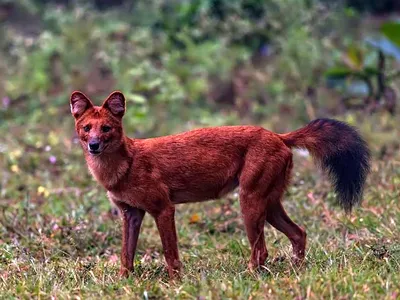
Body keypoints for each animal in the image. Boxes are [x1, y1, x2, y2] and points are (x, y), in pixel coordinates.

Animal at [70, 91, 370, 278]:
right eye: (87, 128)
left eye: (106, 128)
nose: (94, 145)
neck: (121, 167)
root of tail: (279, 135)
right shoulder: (130, 213)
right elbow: (126, 254)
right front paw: (125, 281)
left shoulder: (163, 208)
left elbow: (170, 253)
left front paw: (175, 284)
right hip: (269, 204)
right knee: (299, 233)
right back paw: (295, 272)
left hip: (250, 201)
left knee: (262, 250)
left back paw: (250, 277)